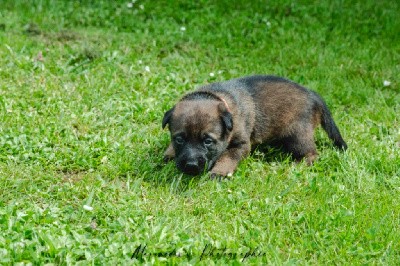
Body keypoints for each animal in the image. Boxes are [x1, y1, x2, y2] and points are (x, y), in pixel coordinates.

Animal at [162, 75, 346, 177]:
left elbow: (226, 158)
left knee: (312, 154)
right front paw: (169, 154)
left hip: (297, 135)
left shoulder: (241, 145)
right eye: (179, 139)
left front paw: (218, 172)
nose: (191, 166)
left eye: (208, 141)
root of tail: (314, 95)